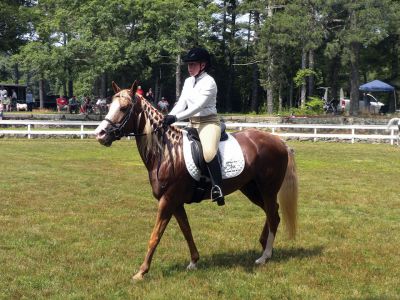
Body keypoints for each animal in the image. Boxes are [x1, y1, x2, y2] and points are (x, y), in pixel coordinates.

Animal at [95, 81, 298, 280]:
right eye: (109, 106)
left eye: (124, 108)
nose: (100, 134)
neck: (167, 152)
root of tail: (279, 141)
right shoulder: (175, 203)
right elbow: (186, 230)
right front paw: (193, 261)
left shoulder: (167, 200)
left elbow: (155, 235)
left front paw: (141, 271)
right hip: (251, 189)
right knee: (272, 213)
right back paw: (264, 246)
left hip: (267, 189)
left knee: (273, 215)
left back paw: (265, 256)